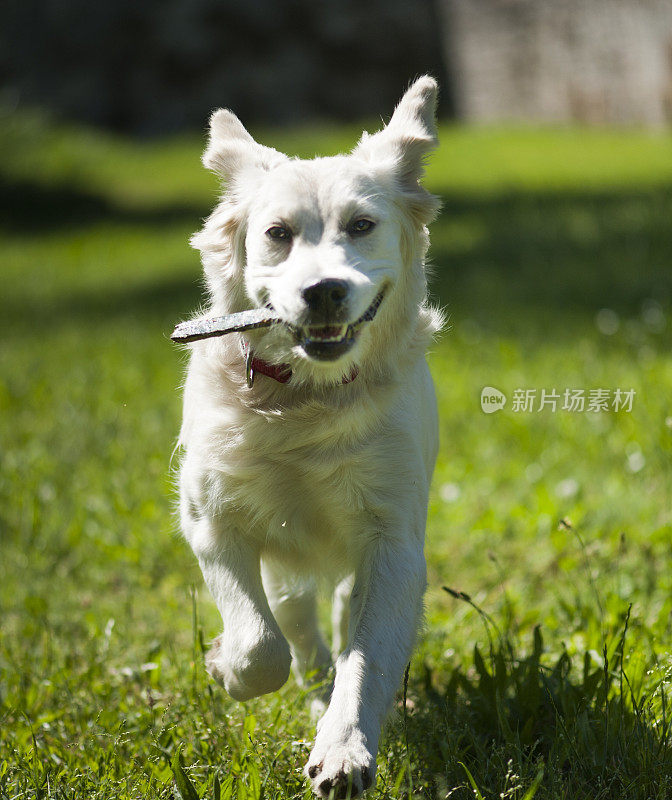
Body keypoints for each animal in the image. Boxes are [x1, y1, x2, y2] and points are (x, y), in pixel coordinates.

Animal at [177, 76, 440, 800]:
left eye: (362, 226)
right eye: (277, 234)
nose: (323, 290)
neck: (303, 398)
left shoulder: (393, 542)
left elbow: (367, 656)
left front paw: (344, 750)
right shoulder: (210, 519)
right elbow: (259, 646)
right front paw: (225, 667)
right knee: (294, 623)